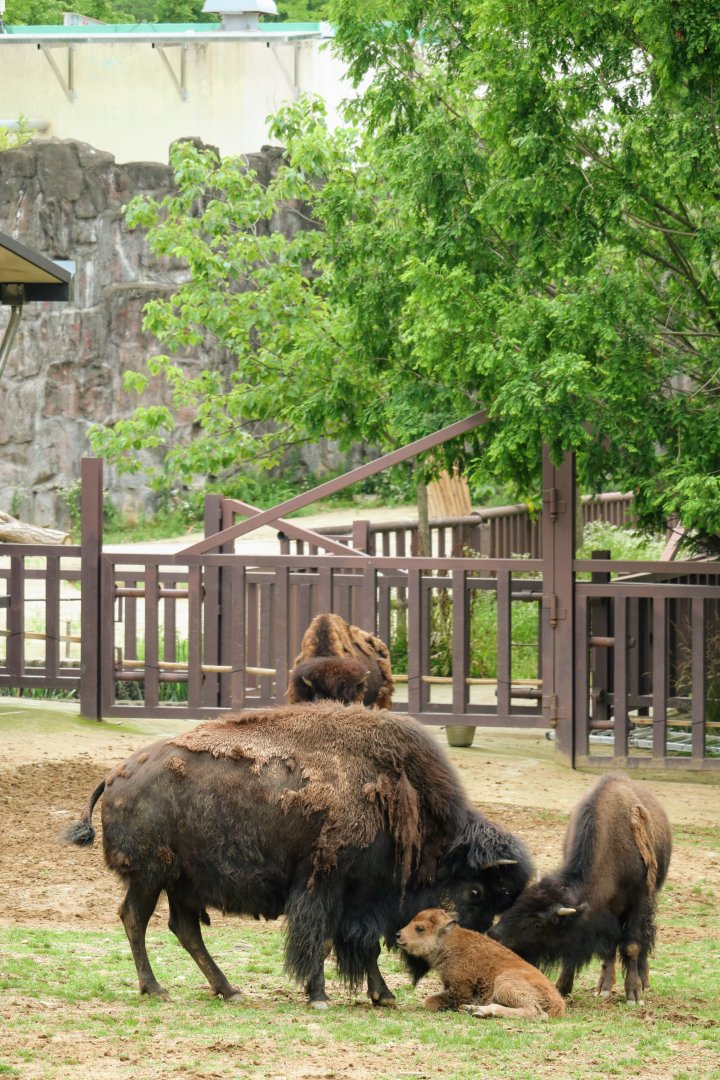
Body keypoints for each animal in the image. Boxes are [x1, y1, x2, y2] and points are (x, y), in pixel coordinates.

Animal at [65, 702, 533, 1007]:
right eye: (476, 891)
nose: (478, 944)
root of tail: (116, 774)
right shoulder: (325, 887)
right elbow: (321, 941)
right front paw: (320, 996)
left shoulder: (358, 900)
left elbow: (361, 946)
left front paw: (383, 996)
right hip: (150, 877)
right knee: (135, 919)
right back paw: (157, 989)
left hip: (182, 883)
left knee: (185, 929)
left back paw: (229, 990)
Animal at [489, 773, 672, 1003]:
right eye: (515, 905)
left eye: (538, 923)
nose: (495, 937)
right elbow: (597, 948)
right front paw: (563, 987)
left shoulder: (638, 902)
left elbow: (632, 946)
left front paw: (634, 995)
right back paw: (604, 988)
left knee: (643, 939)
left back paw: (643, 982)